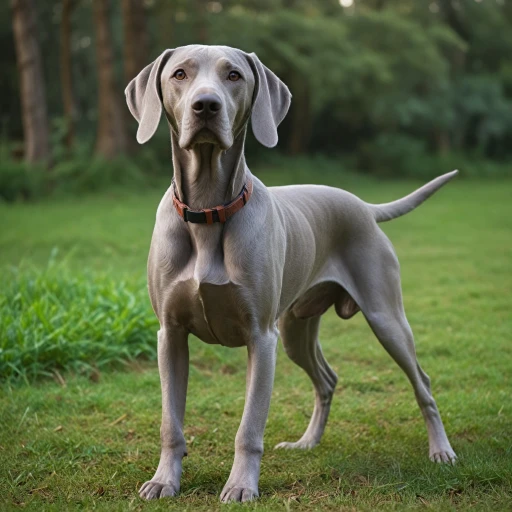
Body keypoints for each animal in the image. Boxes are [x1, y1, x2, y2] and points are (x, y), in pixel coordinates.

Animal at [124, 45, 456, 504]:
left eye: (233, 75)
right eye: (179, 74)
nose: (205, 105)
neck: (209, 211)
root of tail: (364, 206)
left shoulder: (261, 337)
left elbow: (249, 427)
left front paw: (241, 486)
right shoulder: (170, 334)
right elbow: (169, 422)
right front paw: (163, 480)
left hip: (385, 317)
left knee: (421, 380)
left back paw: (441, 450)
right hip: (298, 328)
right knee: (327, 379)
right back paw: (307, 443)